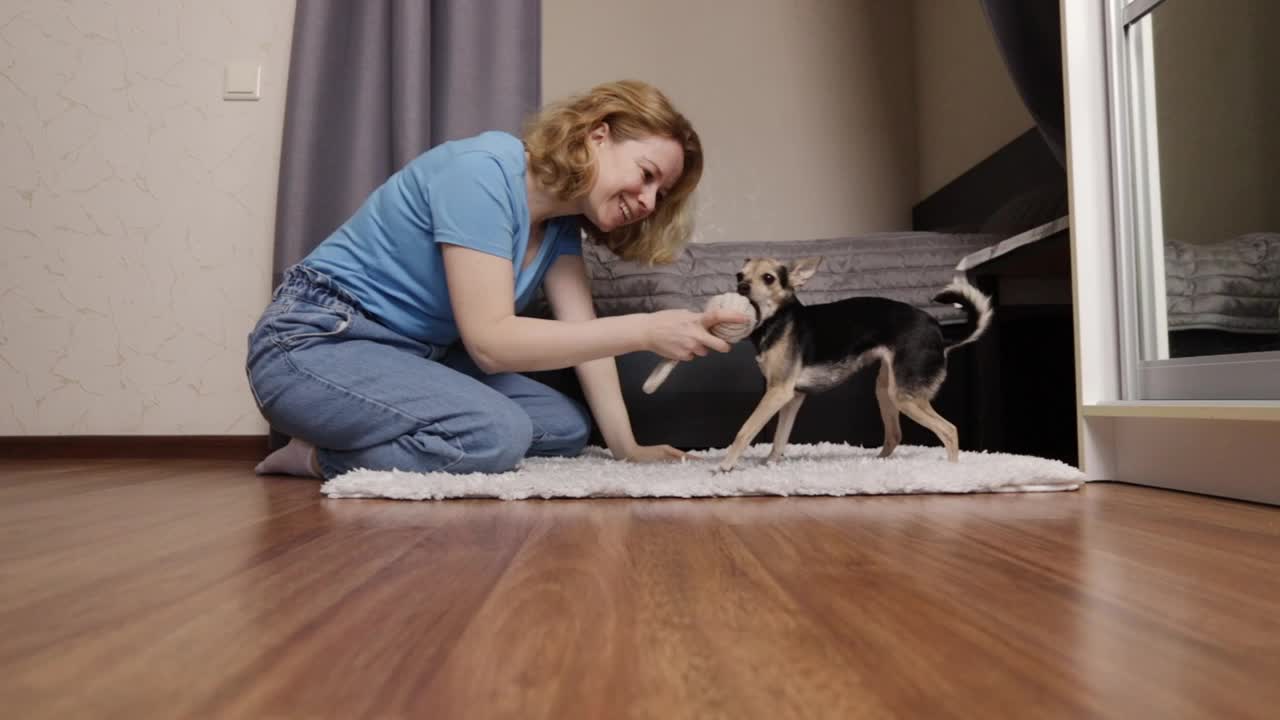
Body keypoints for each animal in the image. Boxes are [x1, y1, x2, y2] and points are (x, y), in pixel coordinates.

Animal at [716, 257, 993, 471]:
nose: (742, 286)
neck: (777, 320)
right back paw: (876, 464)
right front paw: (771, 464)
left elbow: (745, 430)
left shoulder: (777, 392)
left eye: (769, 278)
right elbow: (779, 438)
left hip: (905, 396)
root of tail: (940, 333)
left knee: (949, 430)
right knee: (895, 435)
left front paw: (726, 466)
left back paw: (951, 472)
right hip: (886, 390)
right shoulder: (791, 396)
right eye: (739, 275)